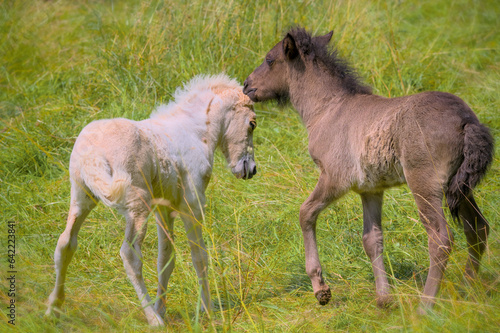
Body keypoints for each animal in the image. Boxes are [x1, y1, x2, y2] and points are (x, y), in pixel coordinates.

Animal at [45, 73, 258, 324]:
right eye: (252, 123)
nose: (251, 170)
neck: (195, 132)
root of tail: (92, 154)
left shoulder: (164, 208)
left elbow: (165, 259)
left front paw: (163, 307)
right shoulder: (192, 204)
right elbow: (199, 256)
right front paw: (207, 310)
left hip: (81, 197)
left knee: (65, 244)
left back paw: (53, 308)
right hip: (138, 204)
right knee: (129, 254)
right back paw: (153, 319)